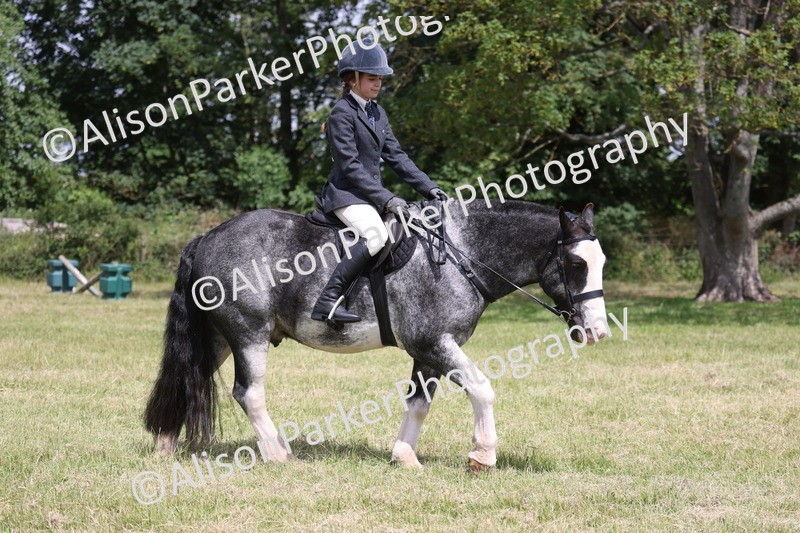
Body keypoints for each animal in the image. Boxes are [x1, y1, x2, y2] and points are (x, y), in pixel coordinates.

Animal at [144, 199, 608, 472]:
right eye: (575, 263)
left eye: (600, 261)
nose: (598, 331)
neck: (460, 255)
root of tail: (208, 237)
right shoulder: (434, 343)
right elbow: (482, 389)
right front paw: (482, 455)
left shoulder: (429, 351)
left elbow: (419, 403)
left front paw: (404, 457)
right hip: (247, 336)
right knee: (248, 393)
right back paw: (278, 454)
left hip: (218, 339)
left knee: (188, 379)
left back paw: (166, 445)